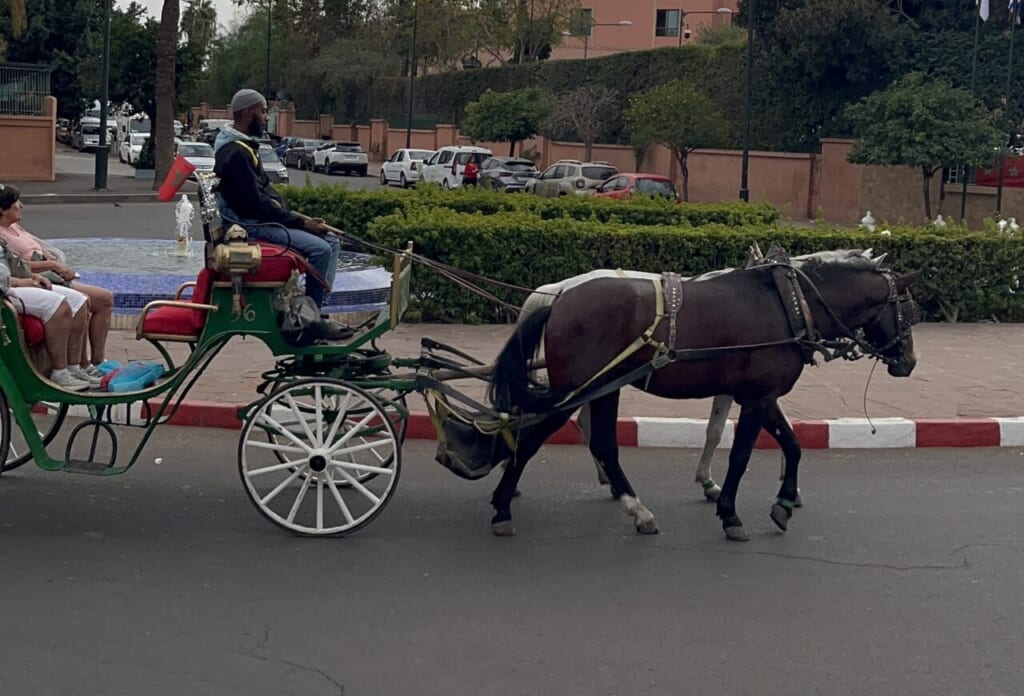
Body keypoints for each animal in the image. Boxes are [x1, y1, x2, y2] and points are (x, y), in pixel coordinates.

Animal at [487, 252, 921, 540]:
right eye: (910, 311)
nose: (909, 361)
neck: (792, 305)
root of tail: (559, 296)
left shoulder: (759, 394)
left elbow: (791, 444)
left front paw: (783, 502)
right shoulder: (756, 397)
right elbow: (741, 454)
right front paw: (730, 512)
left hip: (595, 388)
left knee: (584, 439)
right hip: (582, 388)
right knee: (552, 439)